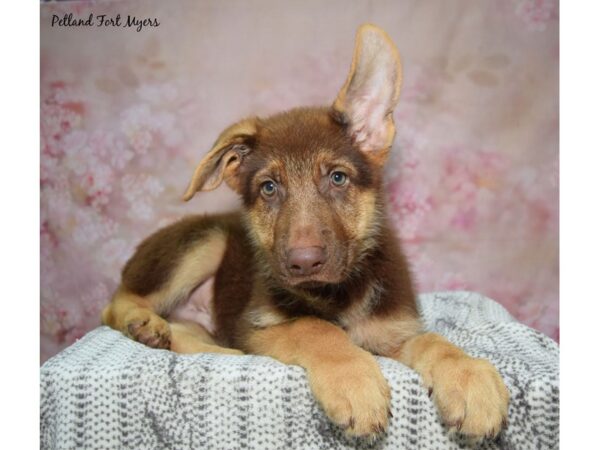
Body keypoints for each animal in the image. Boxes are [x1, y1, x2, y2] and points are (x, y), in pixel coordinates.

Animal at [102, 23, 506, 440]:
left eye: (338, 178)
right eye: (268, 188)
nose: (304, 263)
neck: (337, 294)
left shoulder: (392, 332)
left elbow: (433, 340)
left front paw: (468, 375)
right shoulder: (258, 325)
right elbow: (313, 327)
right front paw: (353, 378)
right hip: (206, 240)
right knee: (115, 304)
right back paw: (146, 323)